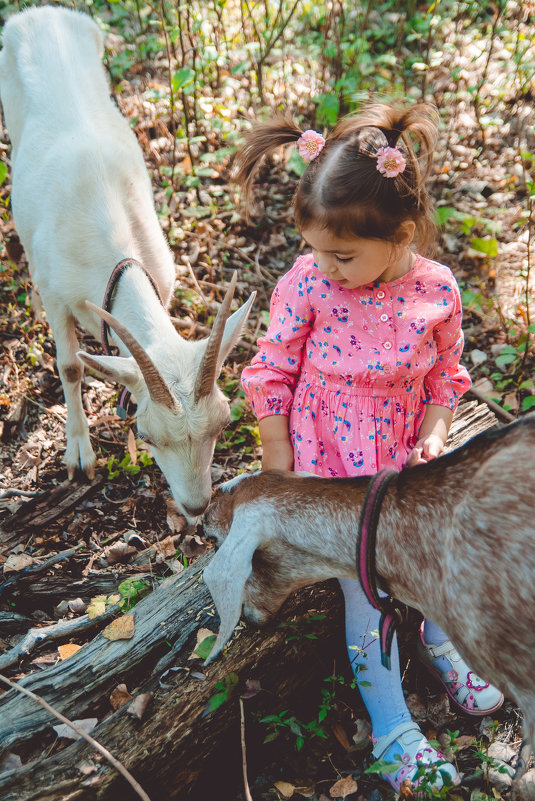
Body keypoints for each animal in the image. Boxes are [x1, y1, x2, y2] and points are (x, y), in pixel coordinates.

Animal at [0, 6, 255, 516]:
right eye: (147, 434)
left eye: (222, 423)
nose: (196, 506)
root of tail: (41, 12)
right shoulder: (56, 292)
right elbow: (71, 366)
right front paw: (79, 455)